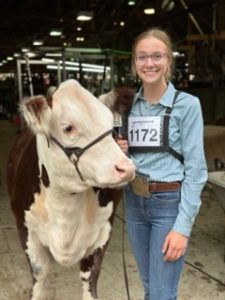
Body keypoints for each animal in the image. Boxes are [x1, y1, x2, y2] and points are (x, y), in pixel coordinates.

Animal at [6, 79, 135, 300]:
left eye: (111, 124)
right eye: (68, 128)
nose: (125, 168)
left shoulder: (103, 231)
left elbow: (90, 280)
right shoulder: (25, 228)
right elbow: (40, 275)